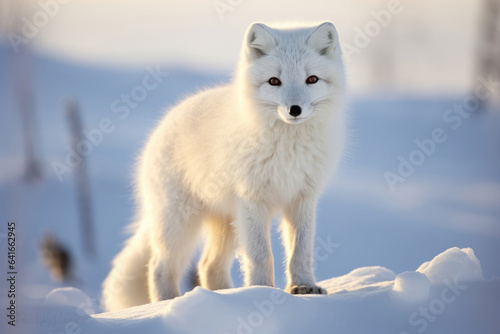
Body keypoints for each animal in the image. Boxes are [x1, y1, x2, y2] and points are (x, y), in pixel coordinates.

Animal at [103, 22, 346, 312]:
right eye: (274, 81)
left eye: (312, 79)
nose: (294, 109)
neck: (288, 147)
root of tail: (162, 125)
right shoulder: (252, 200)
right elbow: (260, 254)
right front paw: (260, 292)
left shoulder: (302, 198)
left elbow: (301, 251)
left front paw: (303, 287)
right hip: (180, 222)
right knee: (159, 267)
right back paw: (169, 304)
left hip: (227, 223)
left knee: (208, 266)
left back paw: (223, 298)